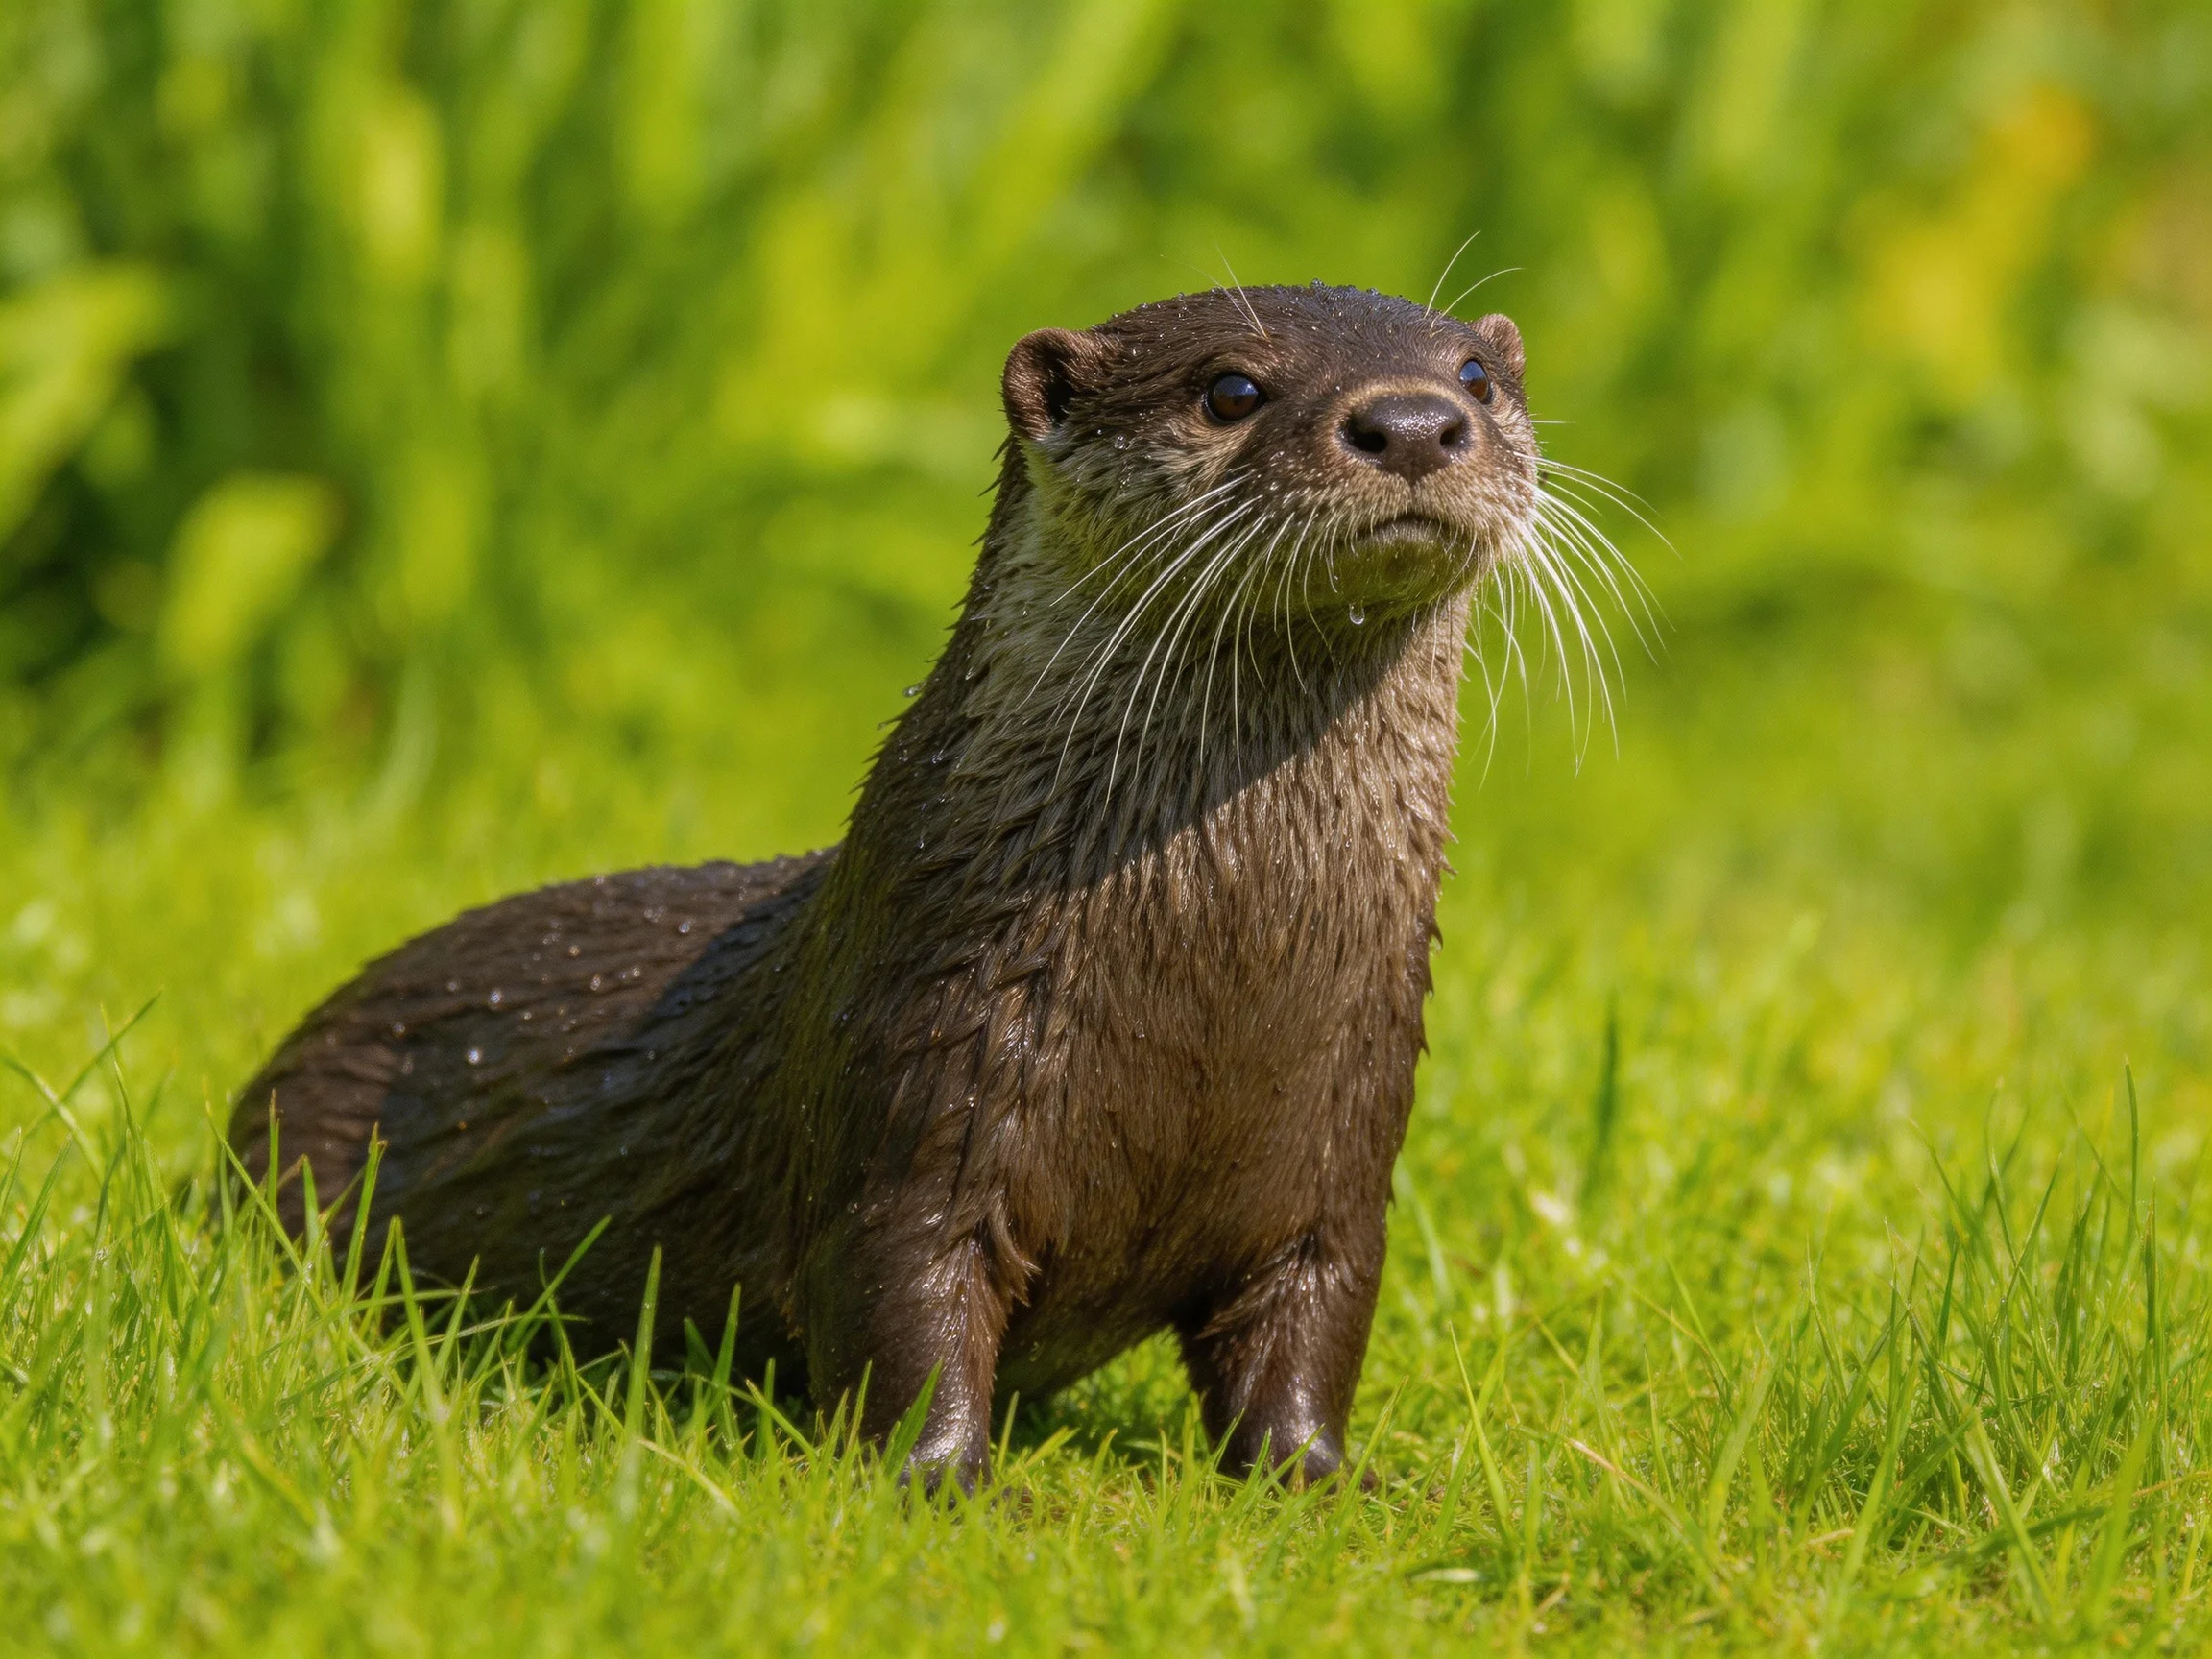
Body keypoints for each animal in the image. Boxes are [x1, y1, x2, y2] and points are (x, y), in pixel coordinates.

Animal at [231, 283, 1544, 1488]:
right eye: (1231, 387)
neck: (1220, 970)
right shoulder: (923, 1103)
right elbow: (902, 1310)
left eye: (1478, 376)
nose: (1415, 422)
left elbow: (1308, 1330)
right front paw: (944, 1485)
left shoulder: (1341, 1152)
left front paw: (1330, 1482)